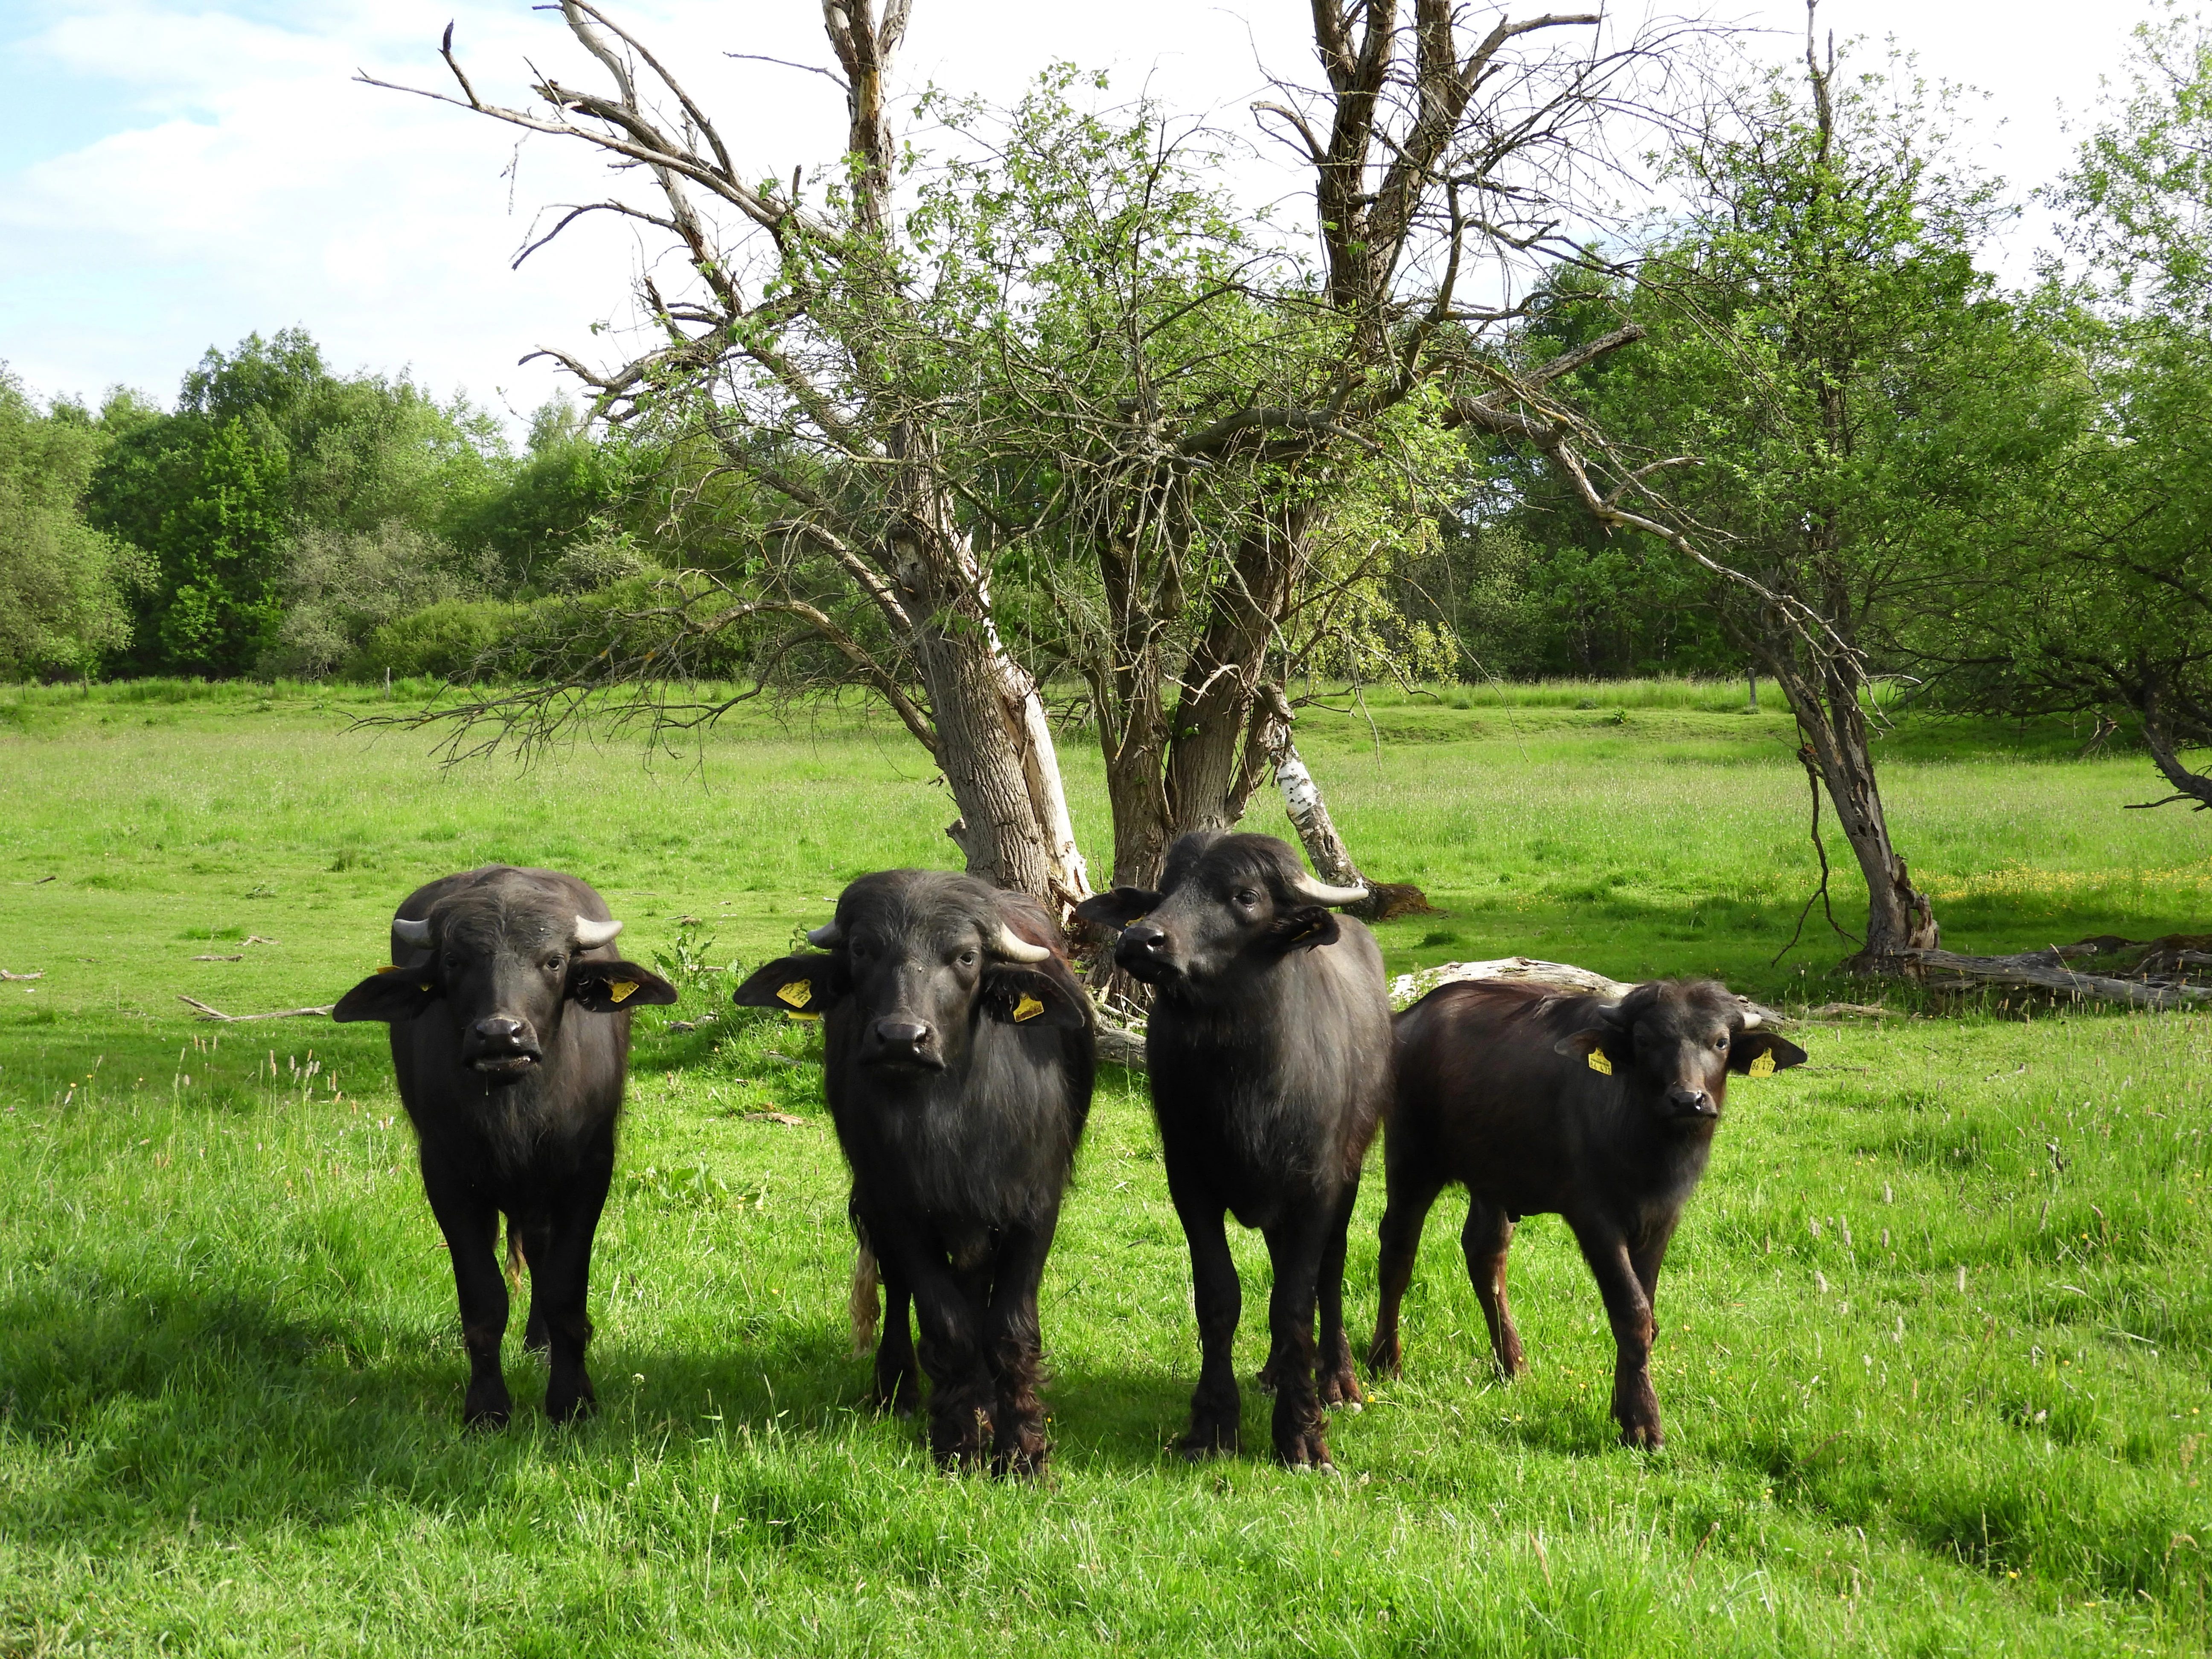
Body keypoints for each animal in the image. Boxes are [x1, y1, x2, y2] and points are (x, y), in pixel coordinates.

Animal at [333, 865, 676, 1427]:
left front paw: (571, 1401)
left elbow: (565, 1290)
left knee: (540, 1251)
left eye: (554, 960)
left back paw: (540, 1344)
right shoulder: (446, 1176)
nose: (501, 1035)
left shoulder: (588, 1172)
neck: (517, 1105)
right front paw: (487, 1408)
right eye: (455, 960)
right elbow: (484, 1299)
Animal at [734, 870, 1093, 1476]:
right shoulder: (897, 1205)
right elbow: (945, 1320)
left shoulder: (1035, 1207)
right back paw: (896, 1392)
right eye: (862, 949)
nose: (902, 1038)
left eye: (967, 956)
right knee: (902, 1288)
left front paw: (1022, 1449)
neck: (952, 1120)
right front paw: (959, 1439)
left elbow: (1011, 1327)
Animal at [1076, 832, 1391, 1468]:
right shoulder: (1190, 1184)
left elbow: (1296, 1301)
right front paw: (1213, 1424)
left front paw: (1302, 1432)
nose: (1140, 941)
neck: (1245, 1083)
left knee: (1330, 1270)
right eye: (1166, 890)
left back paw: (1337, 1379)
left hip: (1348, 1174)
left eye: (1244, 897)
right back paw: (1273, 1372)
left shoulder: (1317, 1187)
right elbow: (1220, 1297)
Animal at [1370, 977, 1806, 1447]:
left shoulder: (1662, 1219)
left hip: (1492, 1178)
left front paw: (1623, 1408)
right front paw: (1644, 1424)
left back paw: (1513, 1365)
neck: (1645, 1141)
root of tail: (1408, 1020)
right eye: (1645, 1040)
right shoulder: (1594, 1219)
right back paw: (1385, 1362)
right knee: (1397, 1253)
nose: (1688, 1100)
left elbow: (1647, 1313)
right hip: (1411, 1160)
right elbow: (1631, 1312)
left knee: (1485, 1255)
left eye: (1721, 1041)